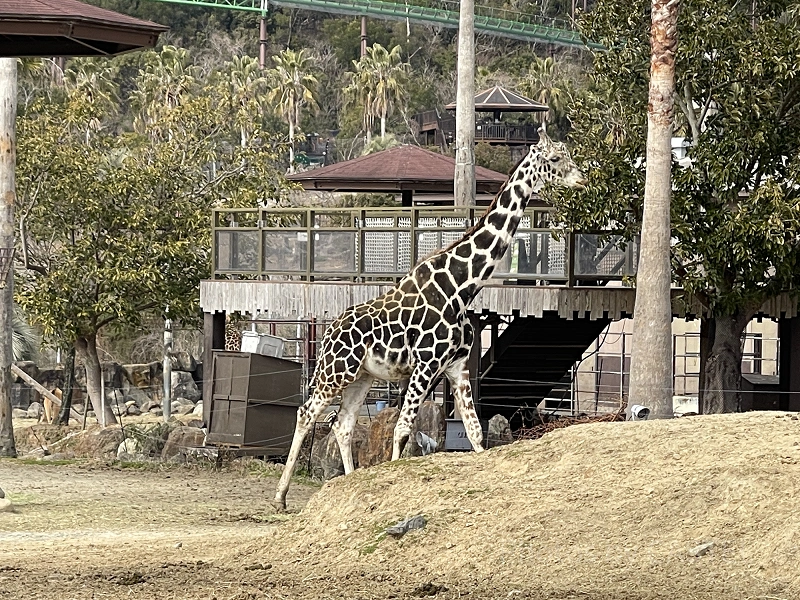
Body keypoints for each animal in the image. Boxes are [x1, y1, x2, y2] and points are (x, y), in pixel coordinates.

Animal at [276, 131, 588, 510]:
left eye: (568, 153)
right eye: (556, 158)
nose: (582, 179)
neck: (462, 286)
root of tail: (326, 334)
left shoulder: (457, 366)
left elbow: (474, 430)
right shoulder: (426, 364)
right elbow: (402, 429)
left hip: (362, 377)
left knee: (342, 423)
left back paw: (349, 484)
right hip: (336, 371)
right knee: (306, 413)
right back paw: (280, 497)